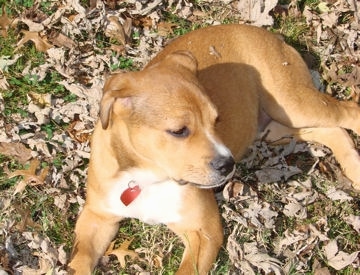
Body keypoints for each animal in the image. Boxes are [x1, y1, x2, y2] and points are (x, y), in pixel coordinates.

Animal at [68, 24, 360, 274]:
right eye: (179, 131)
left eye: (216, 120)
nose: (228, 165)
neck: (146, 177)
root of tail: (270, 35)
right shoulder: (96, 218)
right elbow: (78, 261)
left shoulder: (204, 231)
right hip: (275, 126)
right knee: (332, 130)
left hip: (292, 103)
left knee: (349, 113)